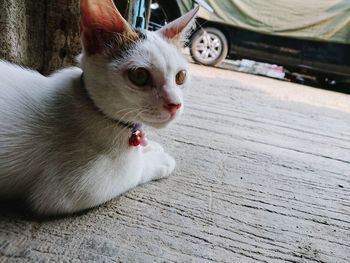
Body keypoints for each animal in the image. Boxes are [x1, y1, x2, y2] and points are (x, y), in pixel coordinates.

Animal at [0, 0, 197, 216]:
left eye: (181, 77)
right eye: (139, 76)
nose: (175, 104)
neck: (94, 108)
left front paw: (150, 146)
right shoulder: (71, 189)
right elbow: (132, 170)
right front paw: (158, 160)